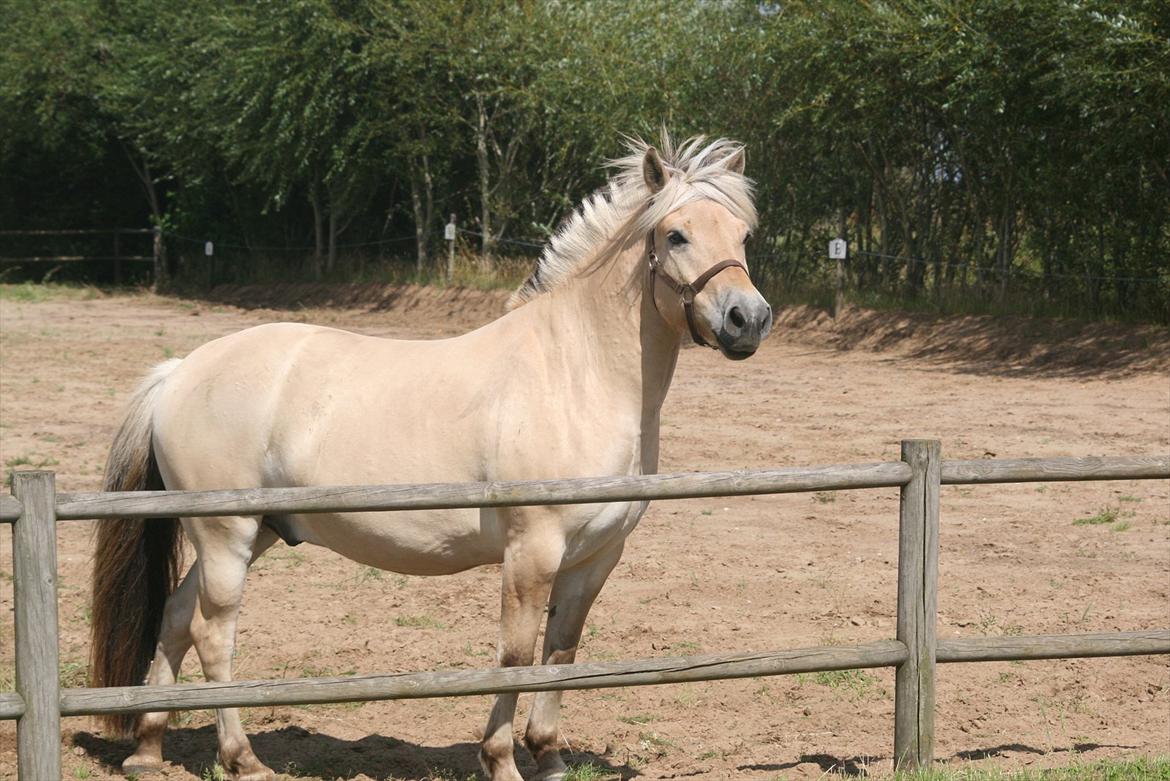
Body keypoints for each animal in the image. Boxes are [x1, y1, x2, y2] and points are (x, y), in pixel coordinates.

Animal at [91, 130, 767, 776]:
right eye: (675, 234)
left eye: (742, 234)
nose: (748, 320)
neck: (576, 375)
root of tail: (180, 372)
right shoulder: (532, 553)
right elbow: (515, 656)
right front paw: (500, 760)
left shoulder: (595, 557)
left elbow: (561, 652)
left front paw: (548, 756)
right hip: (225, 535)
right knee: (213, 634)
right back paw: (244, 760)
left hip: (251, 533)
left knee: (176, 616)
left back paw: (148, 750)